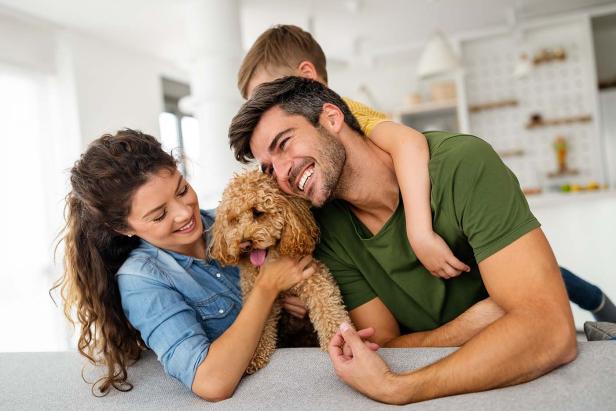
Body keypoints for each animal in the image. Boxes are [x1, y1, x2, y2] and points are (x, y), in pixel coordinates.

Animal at [209, 169, 352, 374]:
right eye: (233, 220)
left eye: (258, 212)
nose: (244, 244)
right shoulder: (259, 297)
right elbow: (259, 330)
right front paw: (255, 355)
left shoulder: (314, 277)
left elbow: (328, 308)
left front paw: (339, 341)